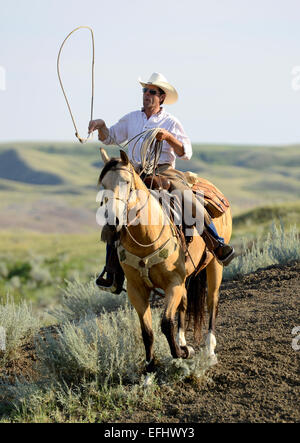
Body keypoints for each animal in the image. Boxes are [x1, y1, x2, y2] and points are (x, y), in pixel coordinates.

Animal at [97, 150, 233, 374]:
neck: (146, 237)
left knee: (212, 302)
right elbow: (147, 331)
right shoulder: (136, 289)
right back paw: (183, 342)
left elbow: (166, 323)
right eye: (102, 185)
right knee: (184, 305)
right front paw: (150, 367)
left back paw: (209, 351)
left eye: (127, 182)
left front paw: (182, 353)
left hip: (215, 265)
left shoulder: (173, 283)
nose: (112, 222)